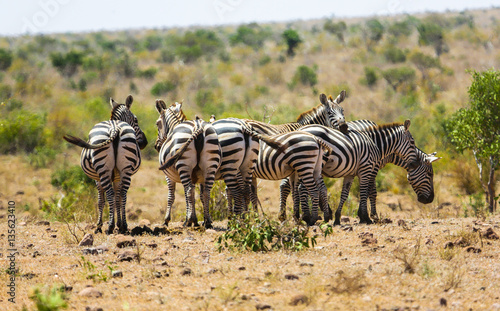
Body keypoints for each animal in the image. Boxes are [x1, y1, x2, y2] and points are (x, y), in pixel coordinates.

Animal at [63, 95, 147, 234]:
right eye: (136, 119)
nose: (144, 142)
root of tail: (115, 128)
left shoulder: (97, 179)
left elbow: (101, 200)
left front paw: (99, 225)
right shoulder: (117, 176)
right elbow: (117, 197)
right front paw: (119, 223)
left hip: (103, 170)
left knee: (110, 194)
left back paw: (110, 226)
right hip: (126, 169)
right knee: (123, 194)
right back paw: (123, 226)